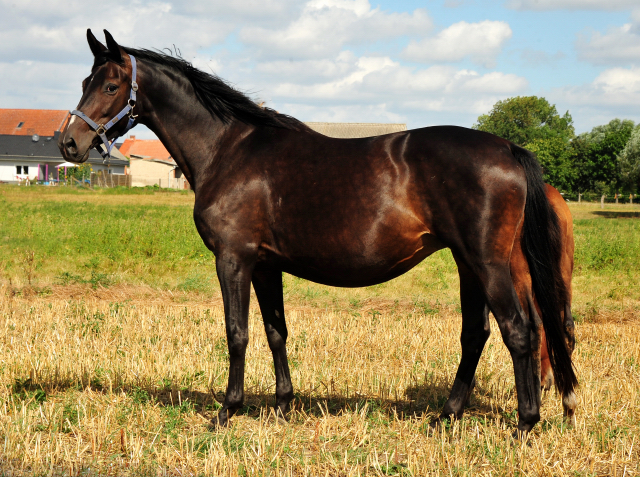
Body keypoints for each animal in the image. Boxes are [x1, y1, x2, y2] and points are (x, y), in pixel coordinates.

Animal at [61, 28, 580, 432]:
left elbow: (236, 332)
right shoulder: (265, 265)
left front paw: (227, 411)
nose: (69, 142)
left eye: (111, 85)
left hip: (486, 262)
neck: (230, 149)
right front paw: (283, 405)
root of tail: (508, 147)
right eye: (85, 81)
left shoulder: (233, 258)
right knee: (482, 333)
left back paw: (525, 424)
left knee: (519, 331)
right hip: (473, 263)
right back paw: (447, 416)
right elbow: (276, 332)